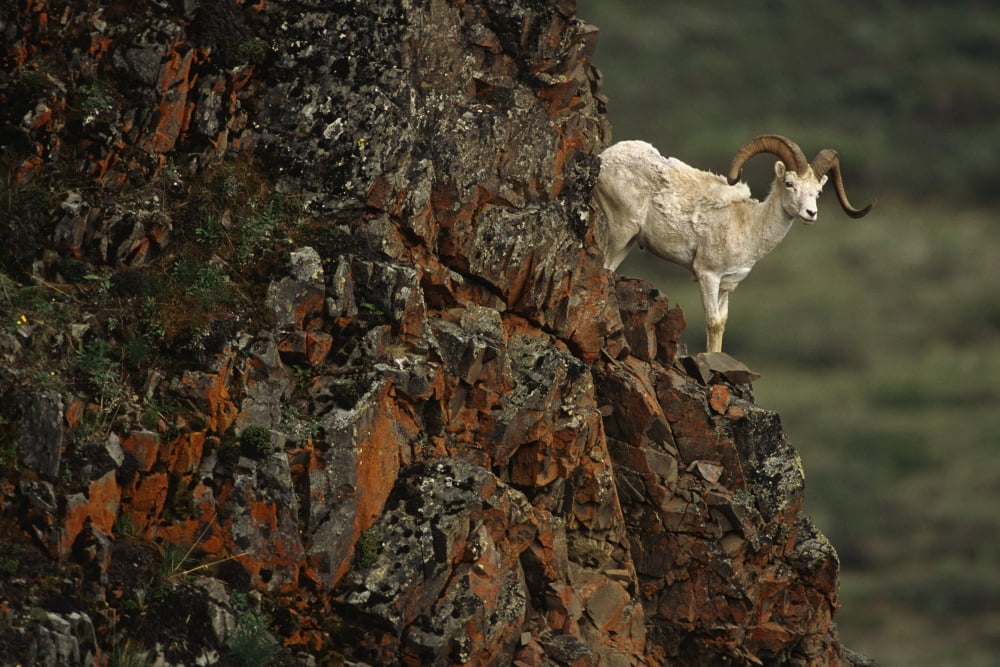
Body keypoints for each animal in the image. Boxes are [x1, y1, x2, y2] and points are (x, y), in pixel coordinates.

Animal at [593, 134, 875, 353]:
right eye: (789, 183)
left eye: (818, 192)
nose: (810, 213)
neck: (748, 226)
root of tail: (605, 158)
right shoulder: (707, 275)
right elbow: (713, 322)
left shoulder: (727, 285)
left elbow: (723, 323)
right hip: (621, 231)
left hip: (629, 241)